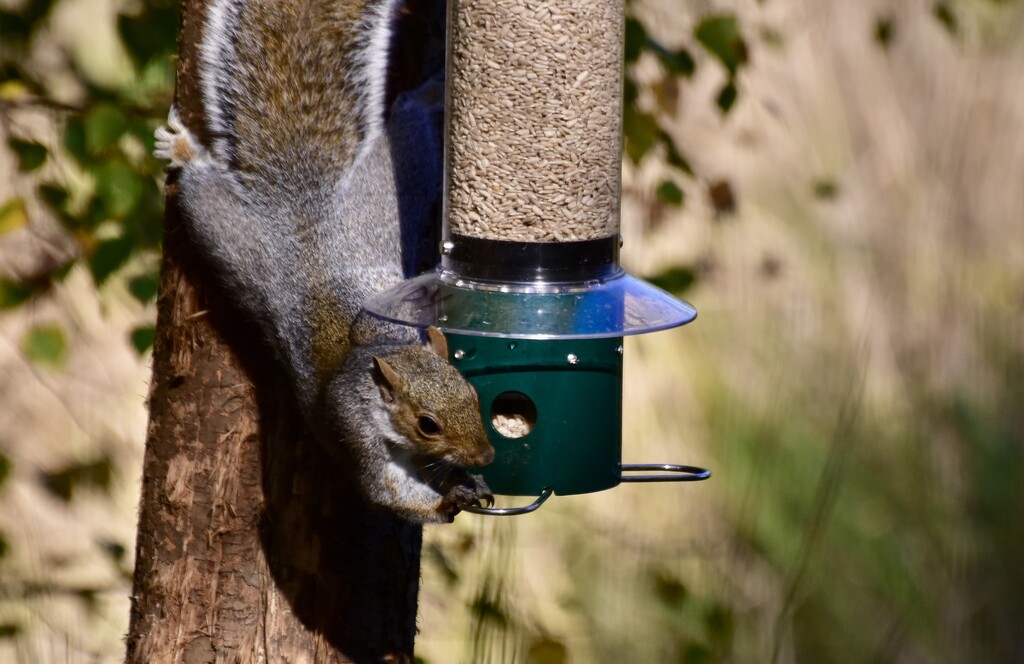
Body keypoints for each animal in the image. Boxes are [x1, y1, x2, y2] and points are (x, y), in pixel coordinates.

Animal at [152, 0, 499, 520]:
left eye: (472, 393)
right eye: (427, 424)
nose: (486, 455)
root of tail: (305, 208)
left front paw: (468, 480)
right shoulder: (352, 428)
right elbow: (384, 490)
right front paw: (450, 498)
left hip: (388, 179)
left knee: (410, 116)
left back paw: (435, 91)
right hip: (226, 229)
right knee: (199, 185)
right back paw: (182, 150)